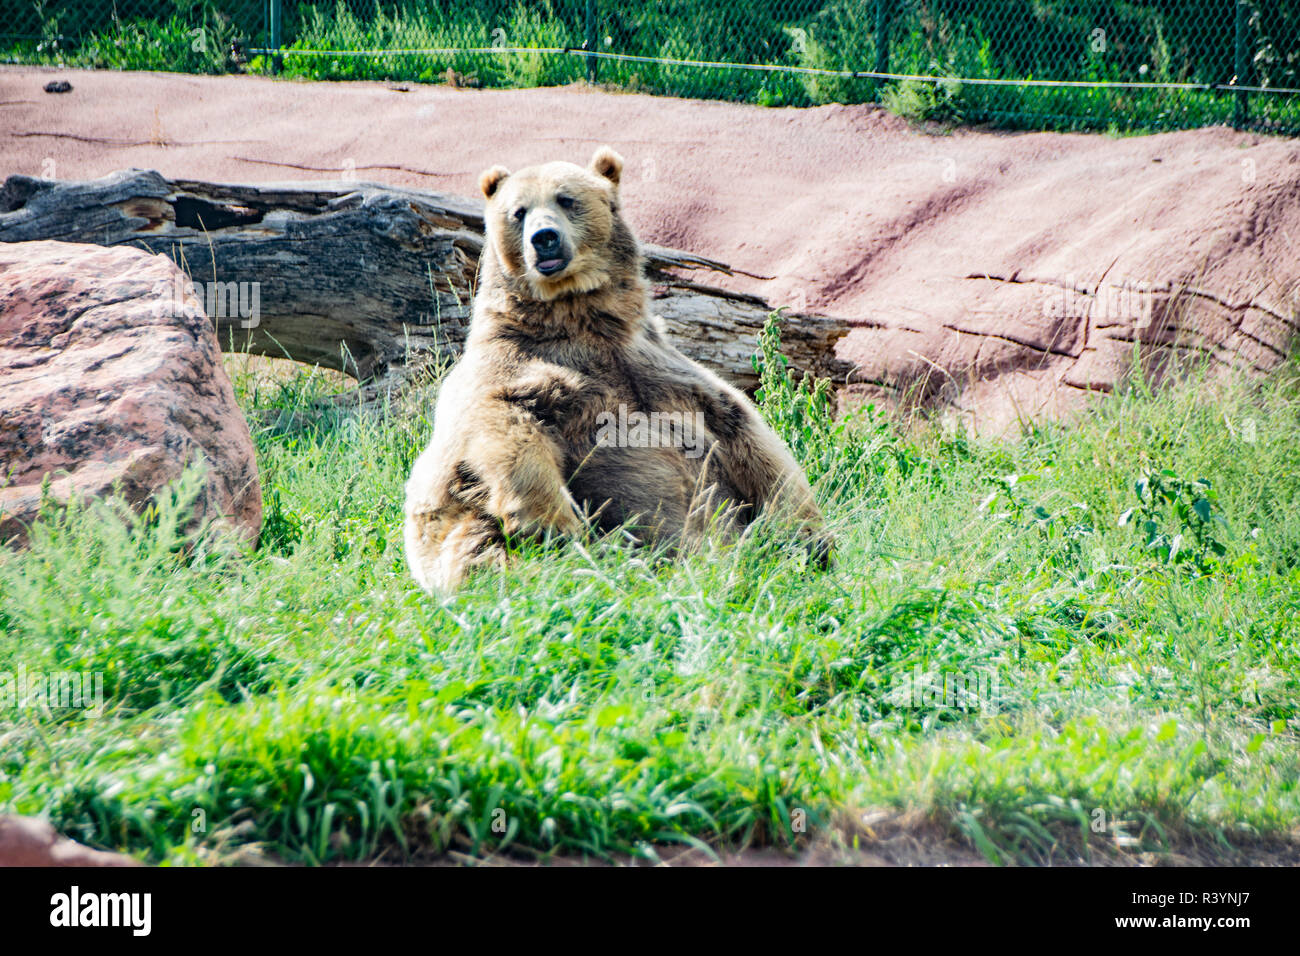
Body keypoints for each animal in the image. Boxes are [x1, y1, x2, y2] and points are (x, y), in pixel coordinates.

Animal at [403, 146, 828, 593]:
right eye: (518, 211)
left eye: (566, 199)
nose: (544, 238)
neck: (578, 316)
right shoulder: (513, 367)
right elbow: (503, 422)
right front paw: (554, 524)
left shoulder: (660, 369)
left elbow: (749, 436)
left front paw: (808, 537)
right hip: (463, 520)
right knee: (481, 547)